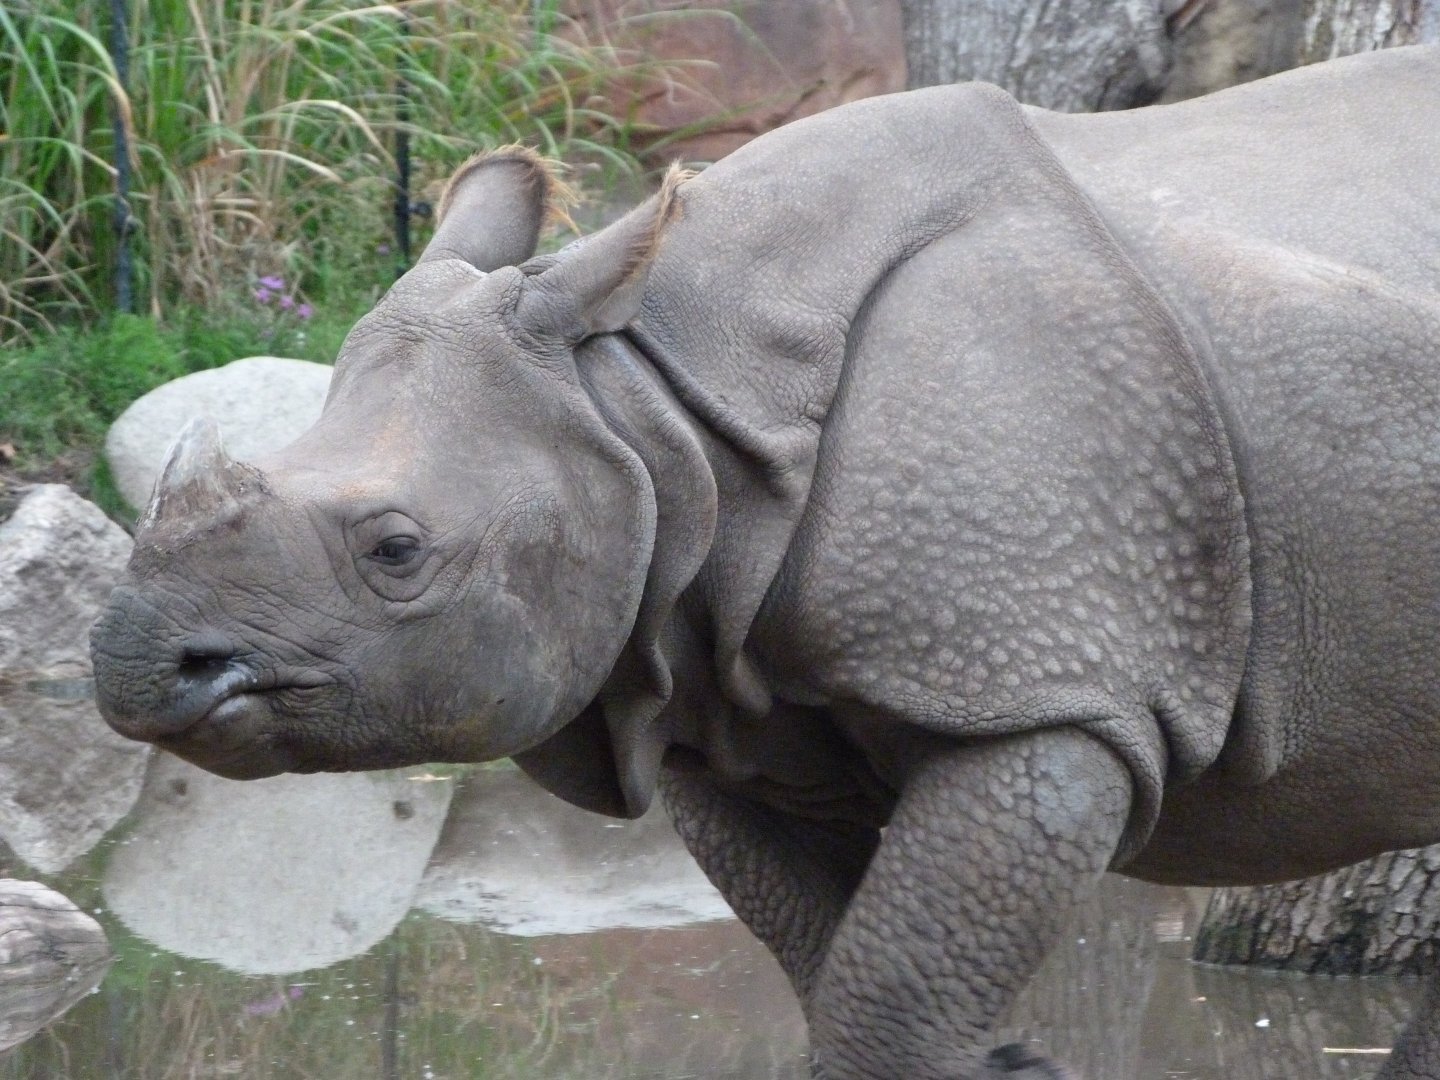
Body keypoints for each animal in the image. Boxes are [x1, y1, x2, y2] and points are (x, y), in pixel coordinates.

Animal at [91, 46, 1440, 1078]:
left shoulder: (1043, 691)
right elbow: (831, 964)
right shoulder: (718, 699)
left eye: (396, 550)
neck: (650, 403)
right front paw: (1013, 1062)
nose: (134, 660)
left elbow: (887, 1008)